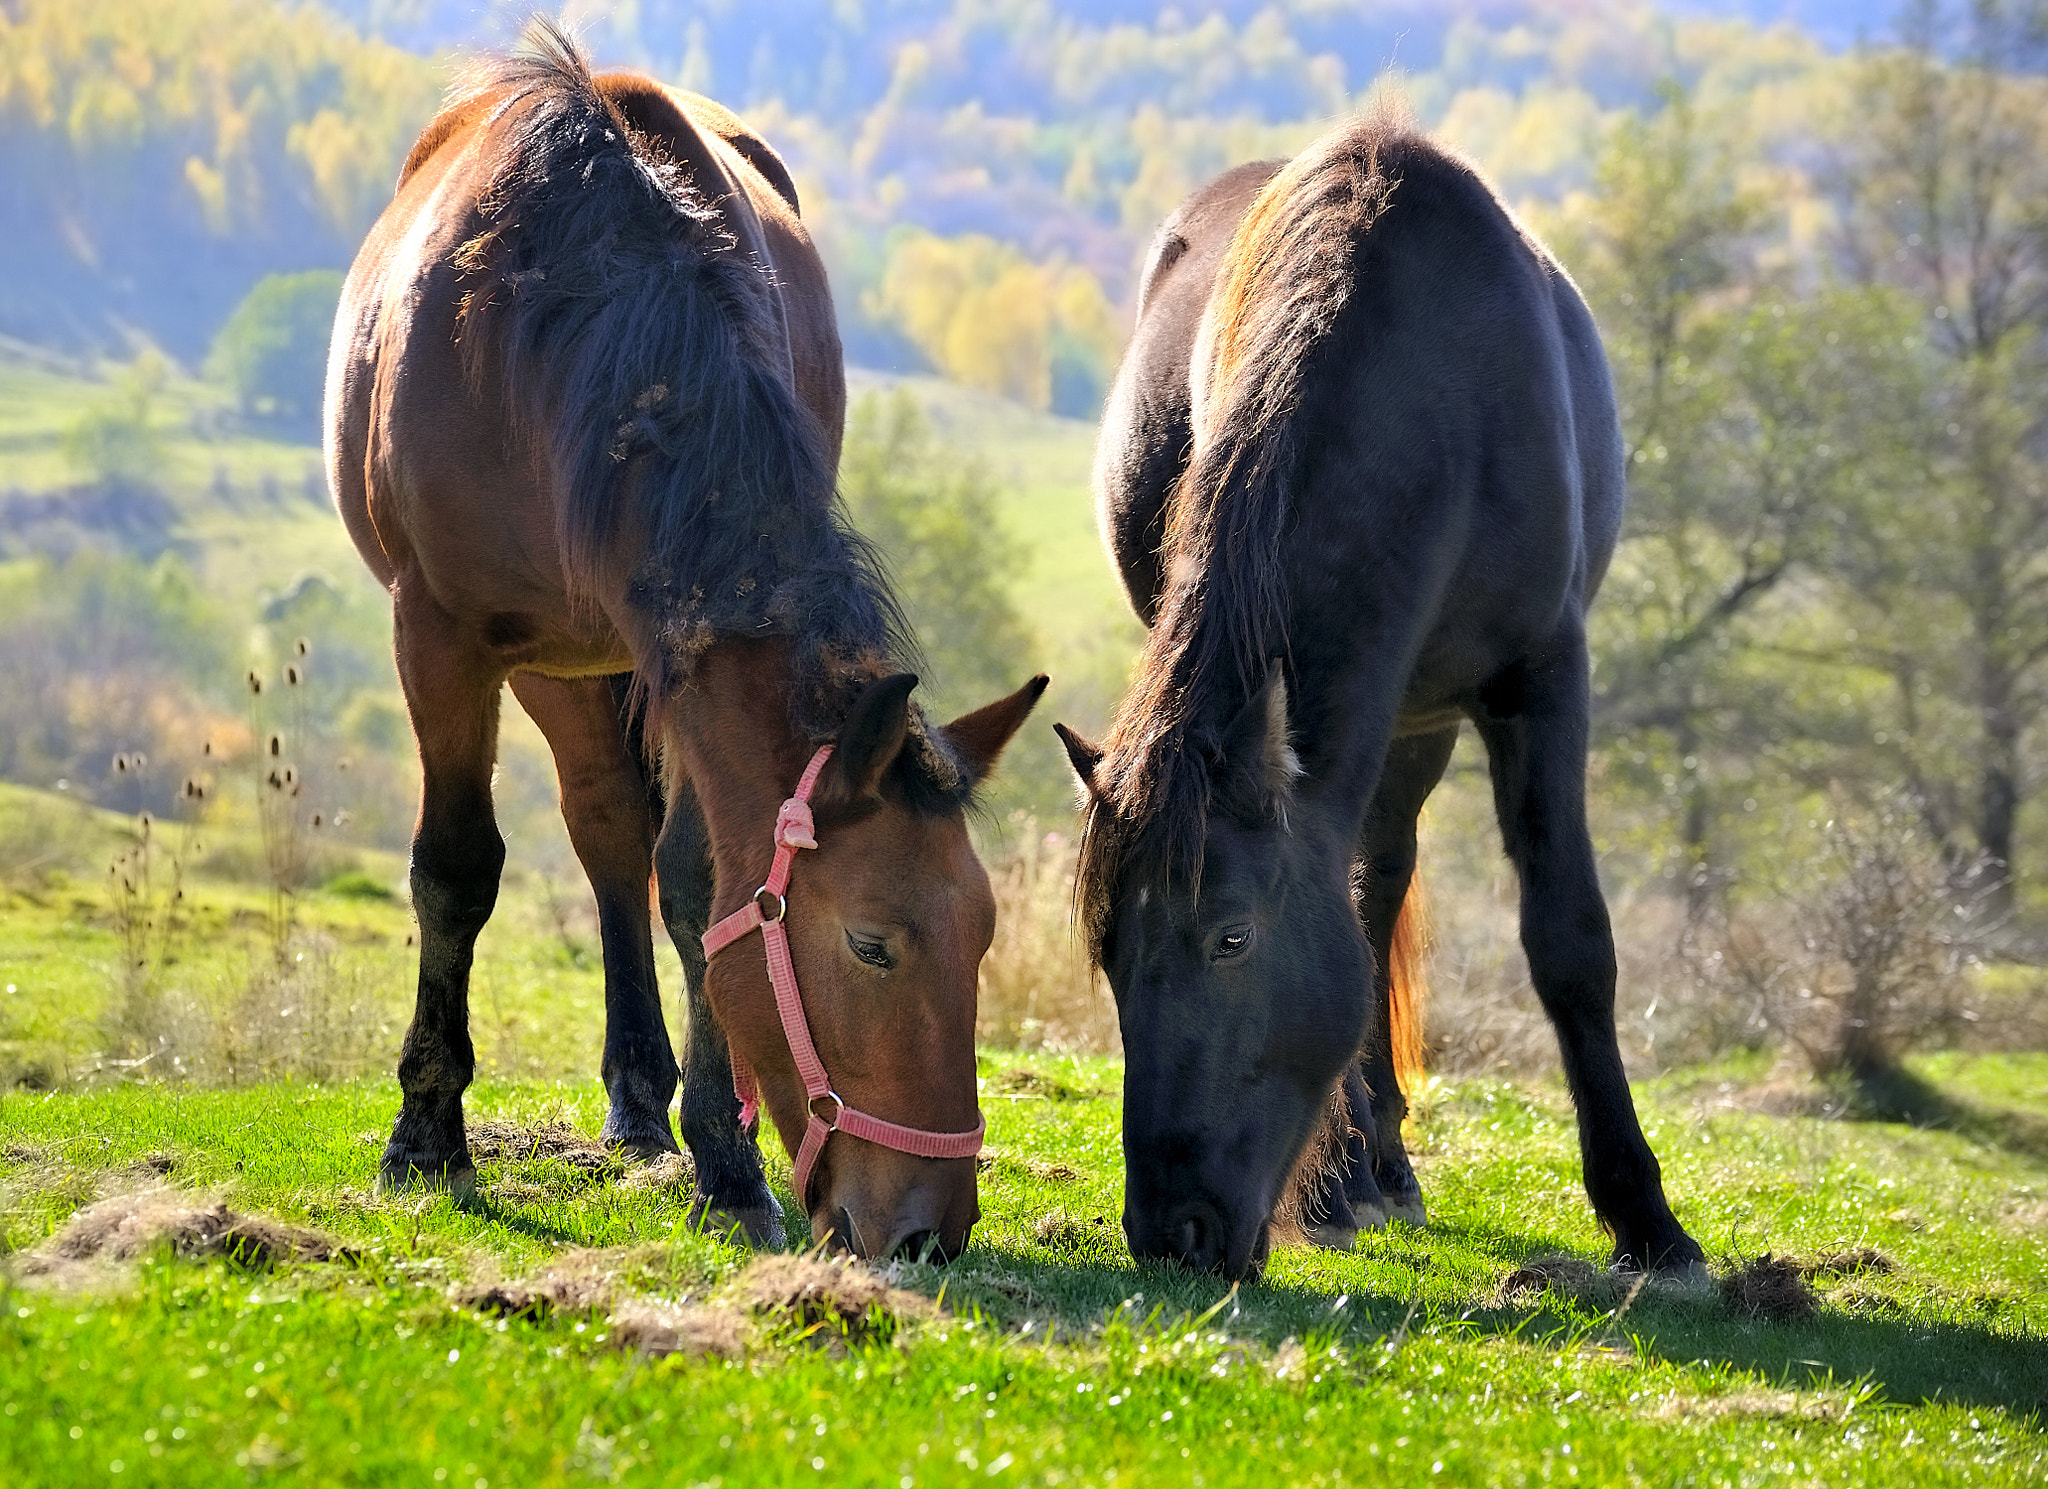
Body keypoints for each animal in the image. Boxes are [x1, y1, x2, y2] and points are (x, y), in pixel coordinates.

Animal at [331, 23, 1056, 1261]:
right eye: (871, 944)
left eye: (982, 936)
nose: (929, 1232)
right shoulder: (440, 638)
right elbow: (454, 871)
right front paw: (426, 1135)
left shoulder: (673, 658)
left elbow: (703, 886)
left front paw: (724, 1160)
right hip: (554, 667)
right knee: (600, 830)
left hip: (599, 665)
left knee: (623, 843)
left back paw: (644, 1099)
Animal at [1064, 110, 1703, 1286]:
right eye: (1110, 953)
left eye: (1231, 938)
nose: (1172, 1236)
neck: (1429, 390)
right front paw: (1336, 1179)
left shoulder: (1543, 680)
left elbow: (1569, 939)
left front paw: (1646, 1217)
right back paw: (1358, 1169)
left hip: (1420, 724)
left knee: (1379, 879)